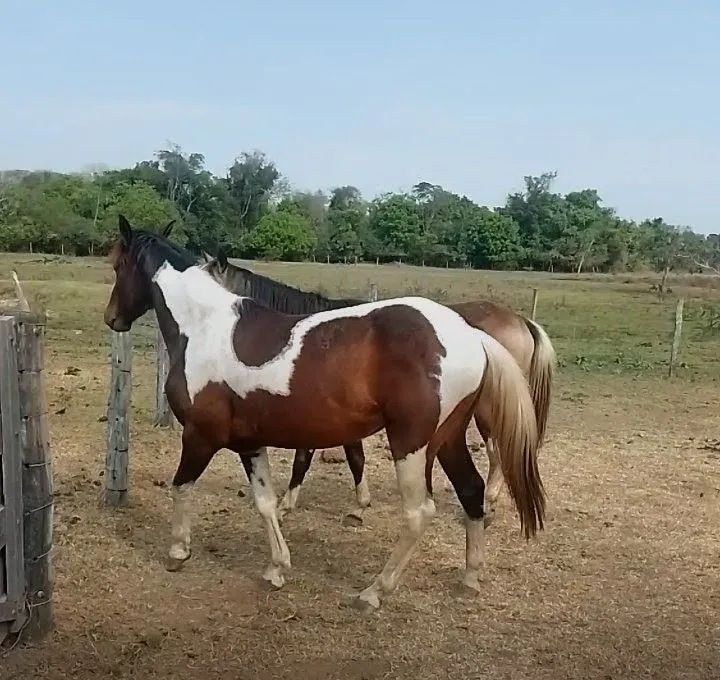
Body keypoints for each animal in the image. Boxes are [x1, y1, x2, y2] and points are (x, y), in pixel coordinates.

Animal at [200, 252, 555, 527]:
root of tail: (521, 321)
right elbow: (353, 456)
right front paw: (360, 502)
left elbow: (307, 457)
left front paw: (289, 504)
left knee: (497, 453)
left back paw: (490, 501)